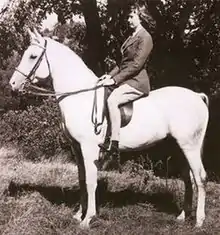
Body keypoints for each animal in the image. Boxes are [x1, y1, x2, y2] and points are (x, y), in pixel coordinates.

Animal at [9, 28, 210, 228]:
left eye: (33, 56)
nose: (12, 84)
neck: (80, 97)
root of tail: (197, 96)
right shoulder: (77, 148)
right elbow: (82, 180)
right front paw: (78, 214)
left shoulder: (88, 147)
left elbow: (91, 182)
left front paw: (87, 219)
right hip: (179, 148)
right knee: (188, 179)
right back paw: (182, 216)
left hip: (189, 146)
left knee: (200, 178)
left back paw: (199, 221)